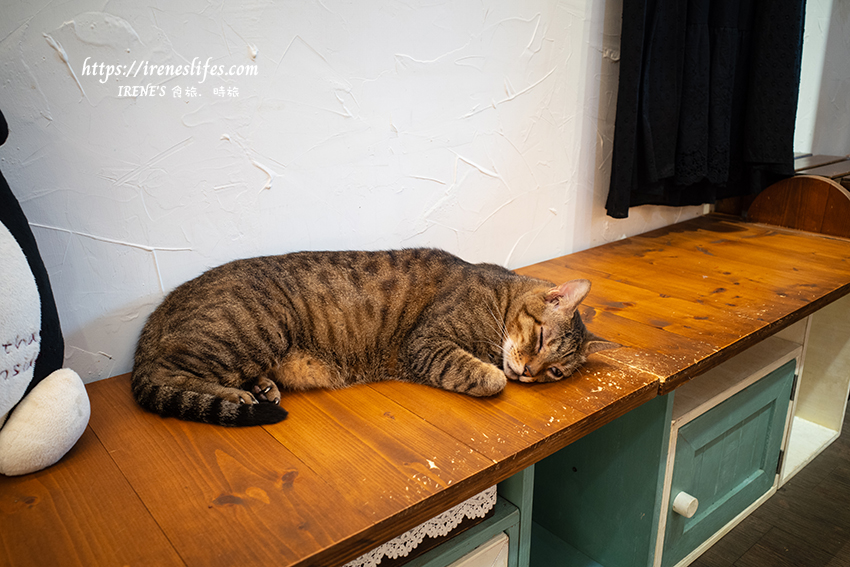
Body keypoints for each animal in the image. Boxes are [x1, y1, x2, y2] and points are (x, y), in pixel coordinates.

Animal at [129, 248, 616, 426]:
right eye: (540, 338)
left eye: (555, 371)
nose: (531, 372)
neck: (499, 300)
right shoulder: (427, 342)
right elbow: (492, 378)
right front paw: (497, 375)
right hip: (250, 330)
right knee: (168, 375)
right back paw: (242, 397)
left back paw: (261, 388)